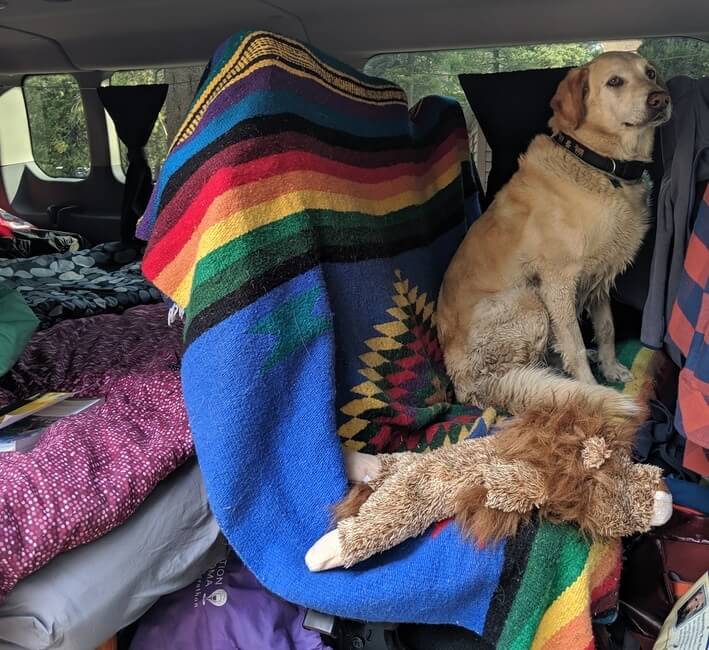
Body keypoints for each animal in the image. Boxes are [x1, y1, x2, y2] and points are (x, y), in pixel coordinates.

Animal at [436, 49, 668, 416]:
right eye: (615, 81)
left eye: (651, 73)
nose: (661, 98)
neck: (601, 166)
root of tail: (467, 386)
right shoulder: (558, 282)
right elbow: (574, 343)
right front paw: (589, 388)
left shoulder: (600, 277)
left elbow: (606, 328)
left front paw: (610, 367)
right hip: (528, 301)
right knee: (527, 371)